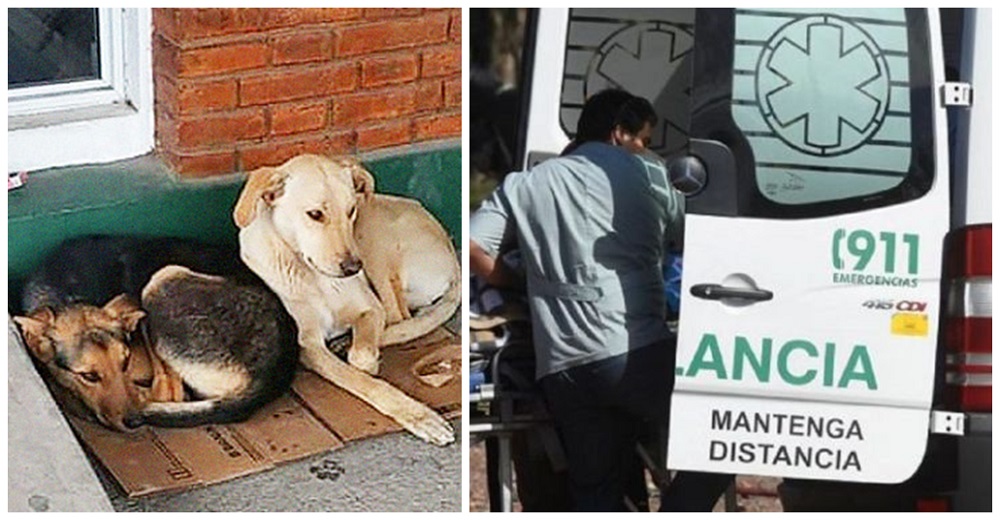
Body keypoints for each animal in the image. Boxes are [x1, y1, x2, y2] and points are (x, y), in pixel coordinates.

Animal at [233, 154, 460, 446]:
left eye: (351, 210)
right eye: (315, 214)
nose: (353, 268)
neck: (314, 276)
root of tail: (452, 252)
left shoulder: (371, 308)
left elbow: (361, 357)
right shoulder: (308, 345)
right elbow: (361, 379)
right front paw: (419, 415)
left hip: (373, 236)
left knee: (399, 317)